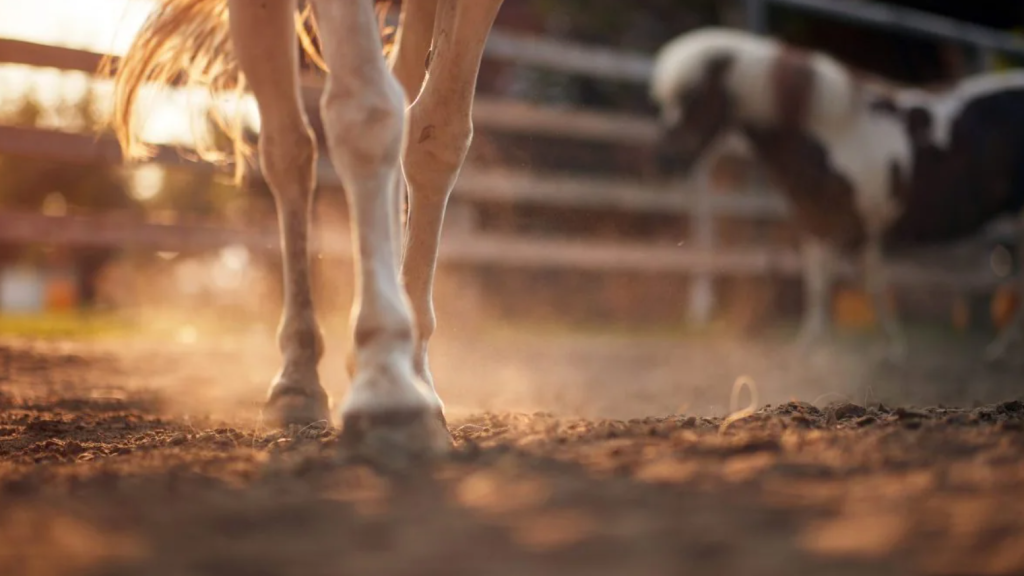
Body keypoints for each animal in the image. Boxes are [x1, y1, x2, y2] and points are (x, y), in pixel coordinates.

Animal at [109, 1, 507, 457]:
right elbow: (366, 110)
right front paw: (387, 384)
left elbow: (438, 133)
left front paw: (411, 372)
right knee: (288, 149)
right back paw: (298, 381)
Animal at [647, 28, 1024, 362]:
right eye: (665, 102)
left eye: (693, 96)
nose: (663, 161)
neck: (832, 132)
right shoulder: (816, 221)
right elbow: (819, 281)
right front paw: (811, 344)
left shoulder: (860, 223)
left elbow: (868, 282)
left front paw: (887, 348)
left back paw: (1001, 350)